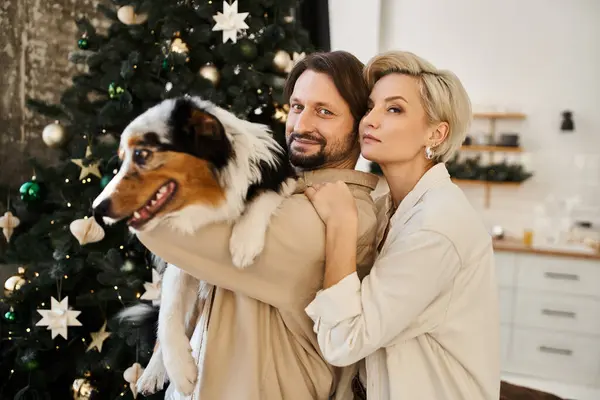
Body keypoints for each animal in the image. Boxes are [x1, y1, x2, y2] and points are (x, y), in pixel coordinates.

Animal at [92, 96, 296, 394]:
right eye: (121, 159)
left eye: (142, 154)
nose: (97, 208)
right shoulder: (180, 263)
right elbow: (167, 315)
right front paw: (180, 371)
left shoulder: (284, 179)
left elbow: (265, 195)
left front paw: (244, 243)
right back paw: (153, 372)